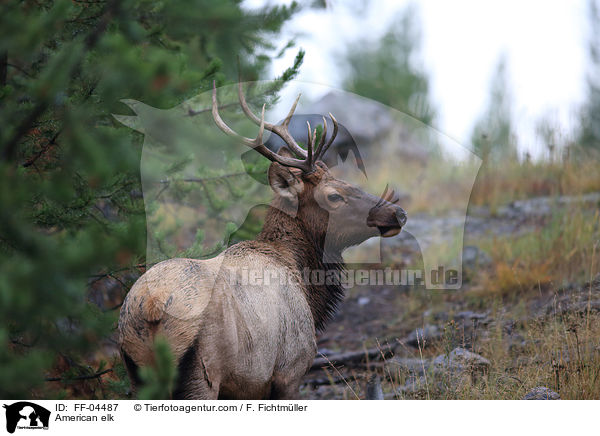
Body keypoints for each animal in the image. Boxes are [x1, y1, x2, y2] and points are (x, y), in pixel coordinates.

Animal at [117, 82, 408, 398]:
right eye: (334, 195)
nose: (398, 213)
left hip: (137, 374)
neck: (307, 287)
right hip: (201, 374)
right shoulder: (291, 369)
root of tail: (150, 306)